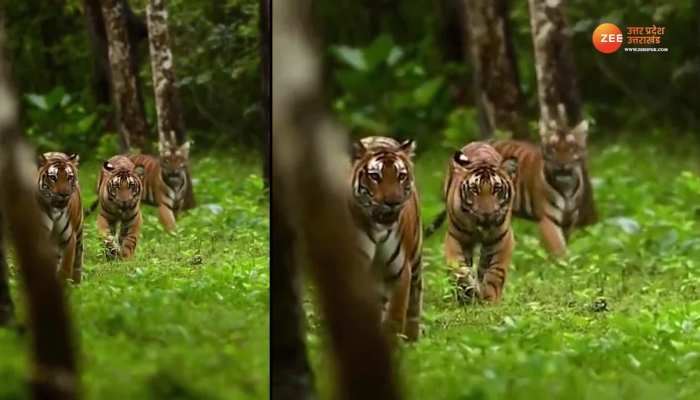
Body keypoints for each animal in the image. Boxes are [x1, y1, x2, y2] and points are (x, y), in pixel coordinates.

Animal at [35, 152, 83, 282]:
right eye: (53, 177)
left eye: (69, 177)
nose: (64, 194)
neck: (55, 211)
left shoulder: (69, 238)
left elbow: (65, 269)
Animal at [440, 142, 516, 302]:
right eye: (474, 189)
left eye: (497, 189)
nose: (486, 214)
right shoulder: (456, 237)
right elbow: (459, 269)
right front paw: (468, 290)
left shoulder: (502, 239)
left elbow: (495, 272)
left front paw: (489, 298)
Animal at [492, 119, 592, 256]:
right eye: (553, 148)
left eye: (572, 147)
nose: (562, 165)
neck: (567, 187)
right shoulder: (548, 220)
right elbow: (559, 250)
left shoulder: (568, 221)